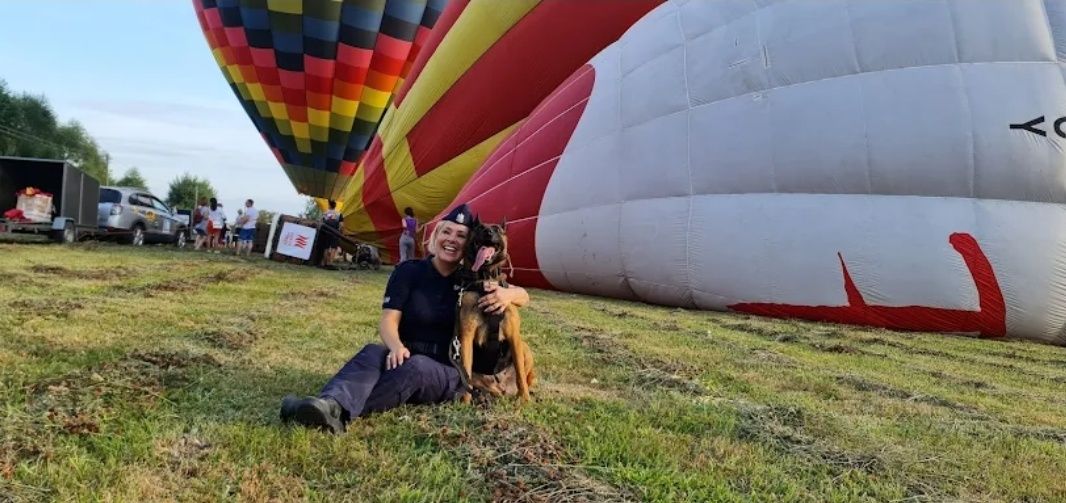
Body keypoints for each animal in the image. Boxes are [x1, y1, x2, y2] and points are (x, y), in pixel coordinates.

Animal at [451, 219, 533, 404]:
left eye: (496, 229)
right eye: (479, 227)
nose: (488, 232)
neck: (486, 279)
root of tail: (501, 387)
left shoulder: (514, 336)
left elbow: (520, 374)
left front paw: (524, 399)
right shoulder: (466, 337)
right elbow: (466, 373)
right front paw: (465, 402)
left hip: (524, 348)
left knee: (527, 377)